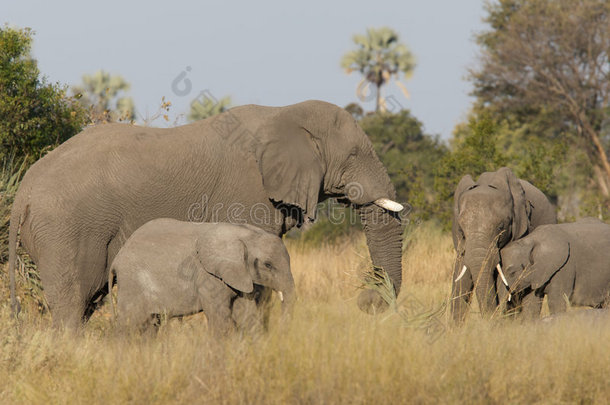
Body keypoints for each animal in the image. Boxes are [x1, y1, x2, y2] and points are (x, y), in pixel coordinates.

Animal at [109, 219, 294, 332]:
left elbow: (246, 313)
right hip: (132, 282)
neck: (245, 233)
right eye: (268, 265)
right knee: (128, 323)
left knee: (150, 325)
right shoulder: (208, 276)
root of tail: (116, 259)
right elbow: (220, 317)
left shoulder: (240, 276)